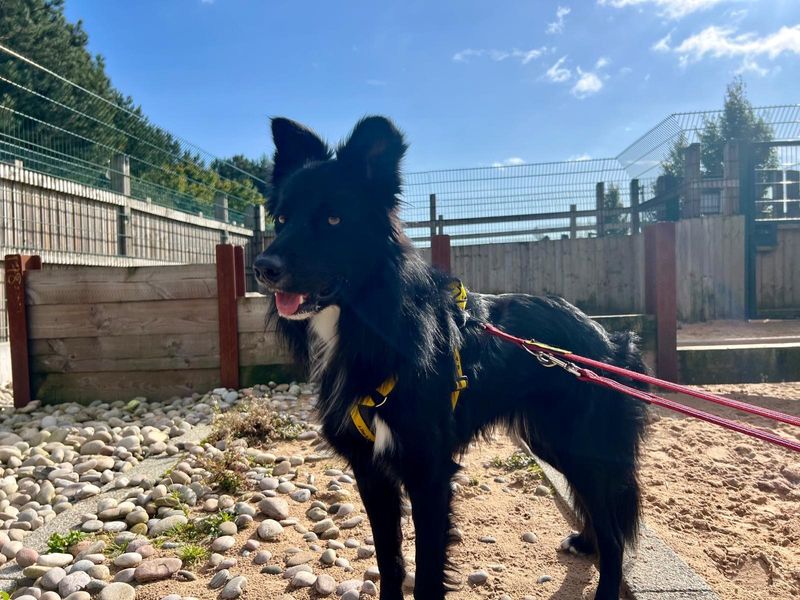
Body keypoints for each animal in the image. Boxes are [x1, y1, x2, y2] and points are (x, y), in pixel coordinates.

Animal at [256, 117, 648, 600]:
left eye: (333, 218)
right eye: (281, 219)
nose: (262, 267)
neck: (369, 323)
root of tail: (611, 338)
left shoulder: (429, 472)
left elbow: (426, 572)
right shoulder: (370, 471)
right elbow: (389, 560)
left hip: (582, 446)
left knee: (615, 536)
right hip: (552, 442)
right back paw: (584, 542)